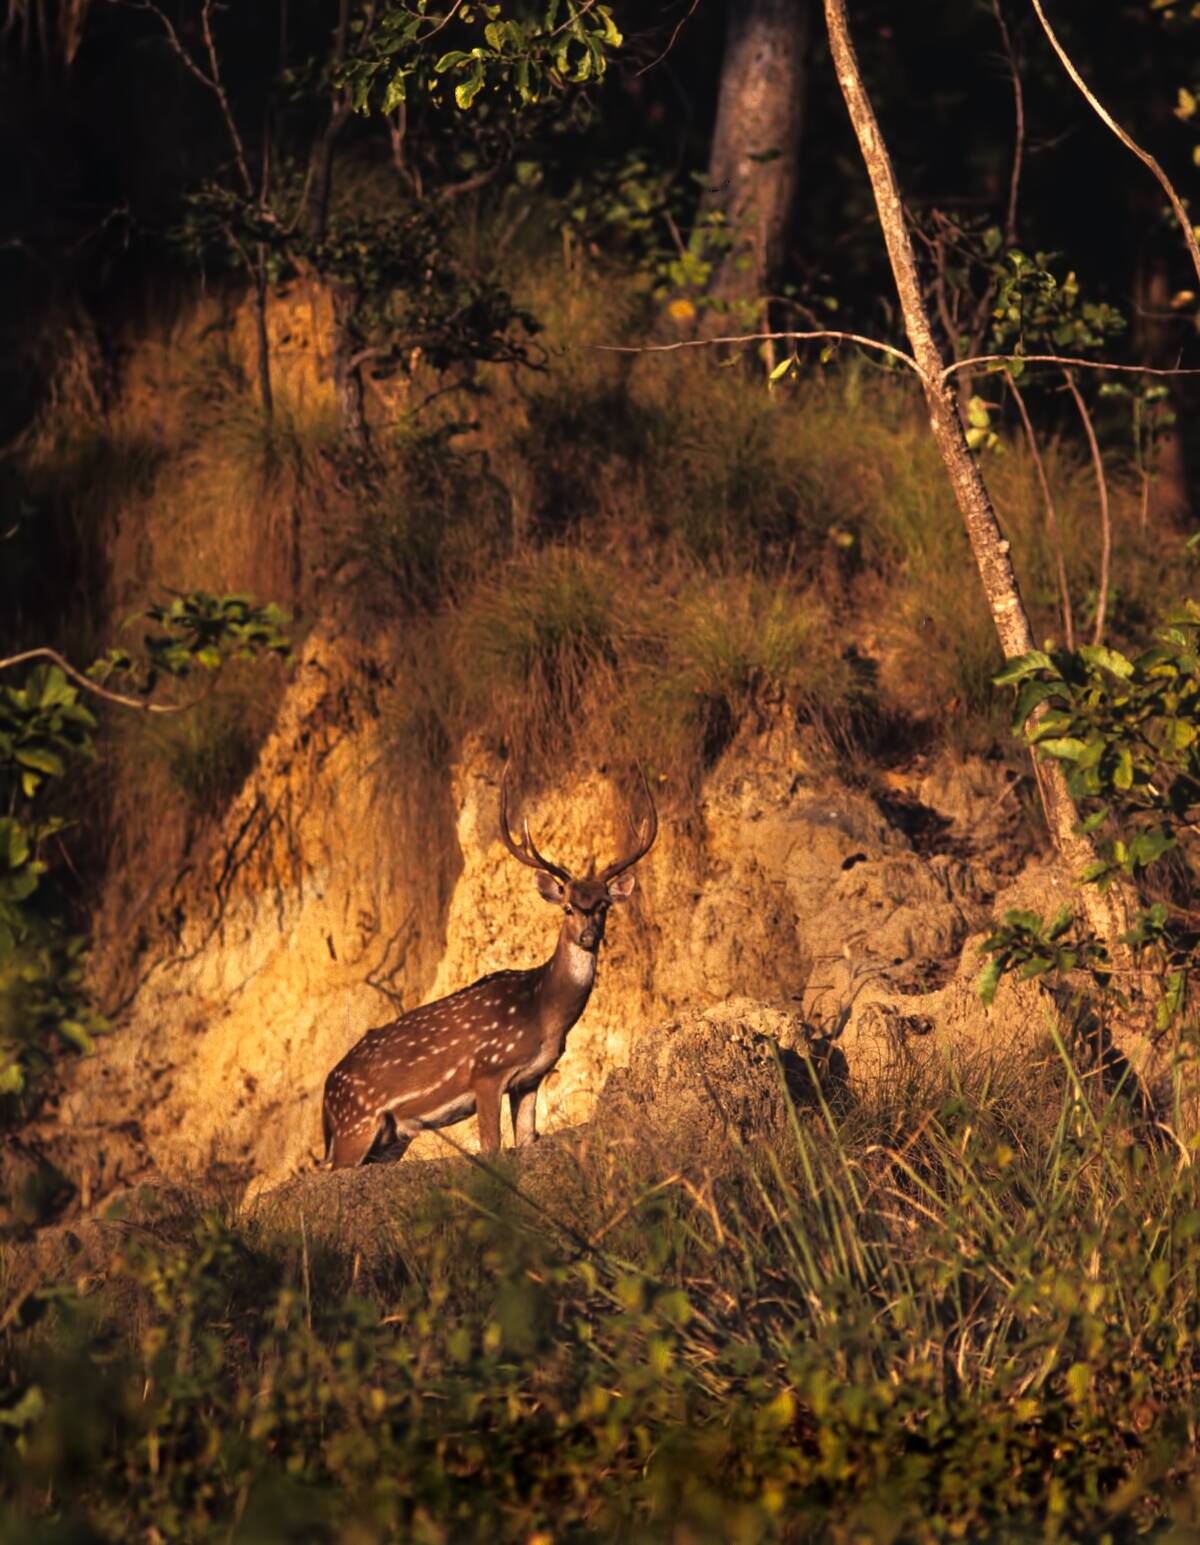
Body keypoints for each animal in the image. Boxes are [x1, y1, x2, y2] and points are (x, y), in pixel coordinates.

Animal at [322, 768, 657, 1169]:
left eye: (604, 906)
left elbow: (525, 1140)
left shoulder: (530, 1078)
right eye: (568, 907)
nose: (588, 936)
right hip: (355, 1124)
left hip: (388, 1136)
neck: (543, 1010)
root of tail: (326, 1094)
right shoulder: (486, 1070)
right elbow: (491, 1147)